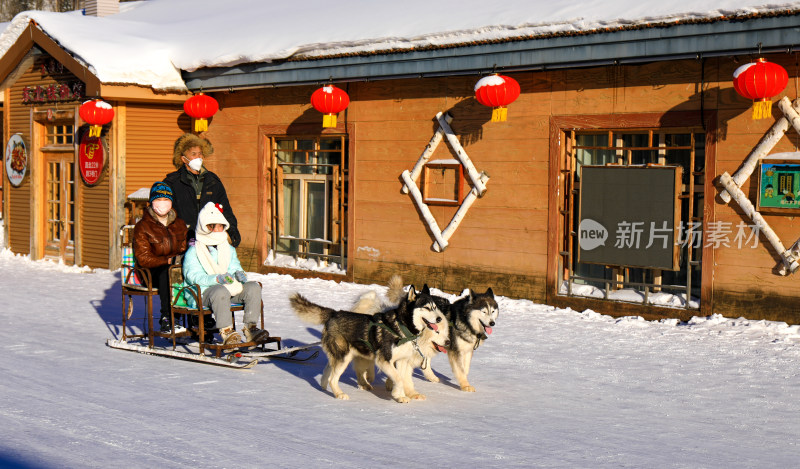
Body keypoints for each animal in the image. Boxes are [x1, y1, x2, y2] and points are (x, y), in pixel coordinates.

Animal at [290, 286, 450, 402]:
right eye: (427, 308)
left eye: (435, 307)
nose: (439, 319)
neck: (401, 327)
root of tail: (334, 313)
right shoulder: (384, 360)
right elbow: (398, 378)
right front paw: (398, 395)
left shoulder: (403, 361)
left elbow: (403, 379)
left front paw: (402, 395)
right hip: (344, 357)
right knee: (333, 378)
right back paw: (339, 394)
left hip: (340, 355)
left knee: (327, 370)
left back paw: (324, 387)